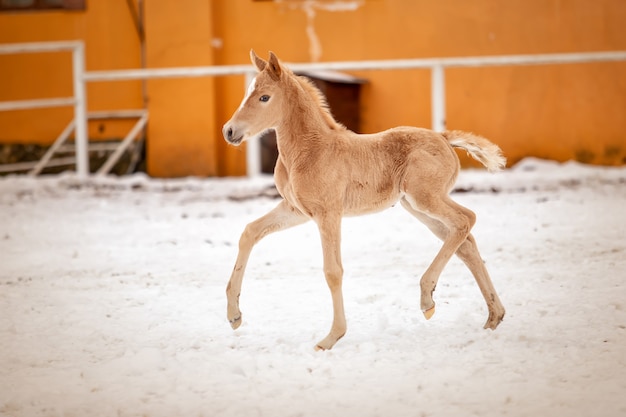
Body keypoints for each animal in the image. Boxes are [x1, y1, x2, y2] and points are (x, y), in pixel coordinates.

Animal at [222, 50, 504, 350]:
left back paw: (427, 298)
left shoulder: (328, 213)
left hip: (426, 198)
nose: (229, 131)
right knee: (465, 243)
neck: (309, 151)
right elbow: (250, 232)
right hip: (417, 207)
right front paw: (234, 316)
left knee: (466, 219)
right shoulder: (296, 209)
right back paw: (493, 316)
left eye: (264, 97)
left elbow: (333, 271)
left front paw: (331, 337)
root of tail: (444, 137)